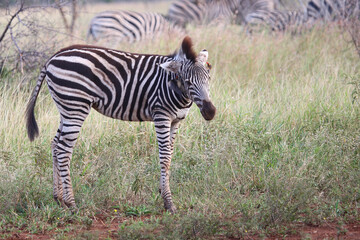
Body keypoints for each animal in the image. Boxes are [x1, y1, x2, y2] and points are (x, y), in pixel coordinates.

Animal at [26, 36, 217, 214]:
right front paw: (169, 203)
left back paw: (59, 200)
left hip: (66, 108)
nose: (210, 112)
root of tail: (53, 57)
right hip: (75, 106)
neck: (175, 88)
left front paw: (162, 192)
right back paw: (71, 203)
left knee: (55, 145)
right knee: (64, 150)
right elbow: (164, 157)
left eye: (208, 78)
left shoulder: (176, 121)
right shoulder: (161, 116)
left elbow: (169, 156)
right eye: (188, 81)